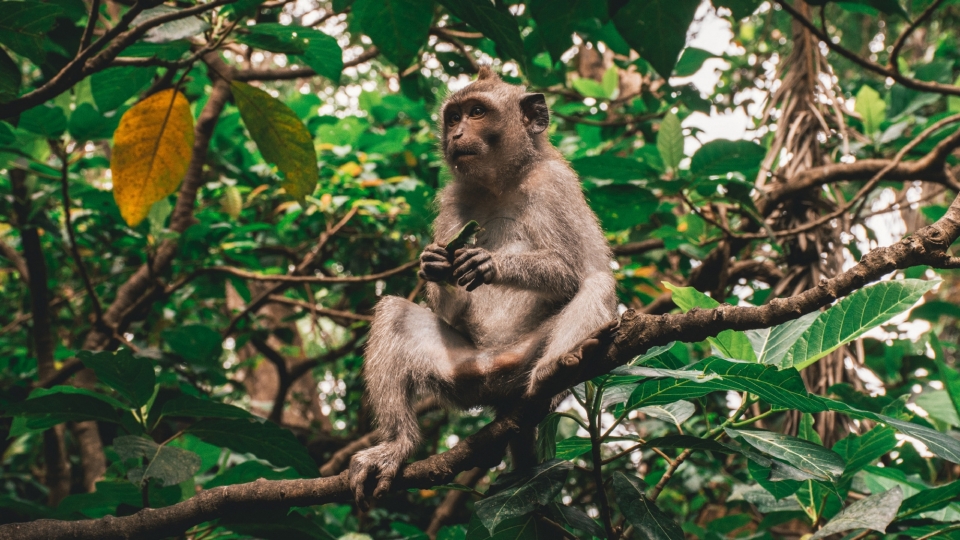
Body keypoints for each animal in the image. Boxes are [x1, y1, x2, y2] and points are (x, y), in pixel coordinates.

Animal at [348, 66, 620, 506]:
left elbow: (575, 272)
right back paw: (397, 445)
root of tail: (497, 374)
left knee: (597, 283)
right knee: (393, 312)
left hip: (524, 358)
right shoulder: (452, 198)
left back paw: (555, 368)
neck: (502, 183)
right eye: (453, 117)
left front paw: (491, 264)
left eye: (477, 112)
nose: (457, 134)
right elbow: (448, 308)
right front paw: (436, 264)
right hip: (463, 372)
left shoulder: (554, 183)